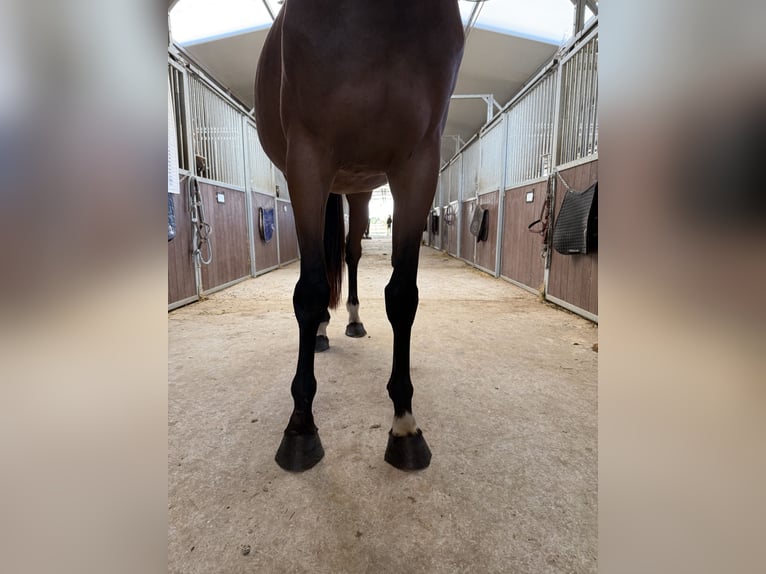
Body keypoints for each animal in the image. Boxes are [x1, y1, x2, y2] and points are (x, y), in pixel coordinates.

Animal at [254, 0, 464, 471]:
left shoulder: (418, 165)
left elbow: (402, 295)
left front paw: (404, 425)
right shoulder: (307, 159)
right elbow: (310, 290)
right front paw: (300, 428)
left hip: (360, 186)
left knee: (349, 254)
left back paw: (349, 320)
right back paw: (320, 331)